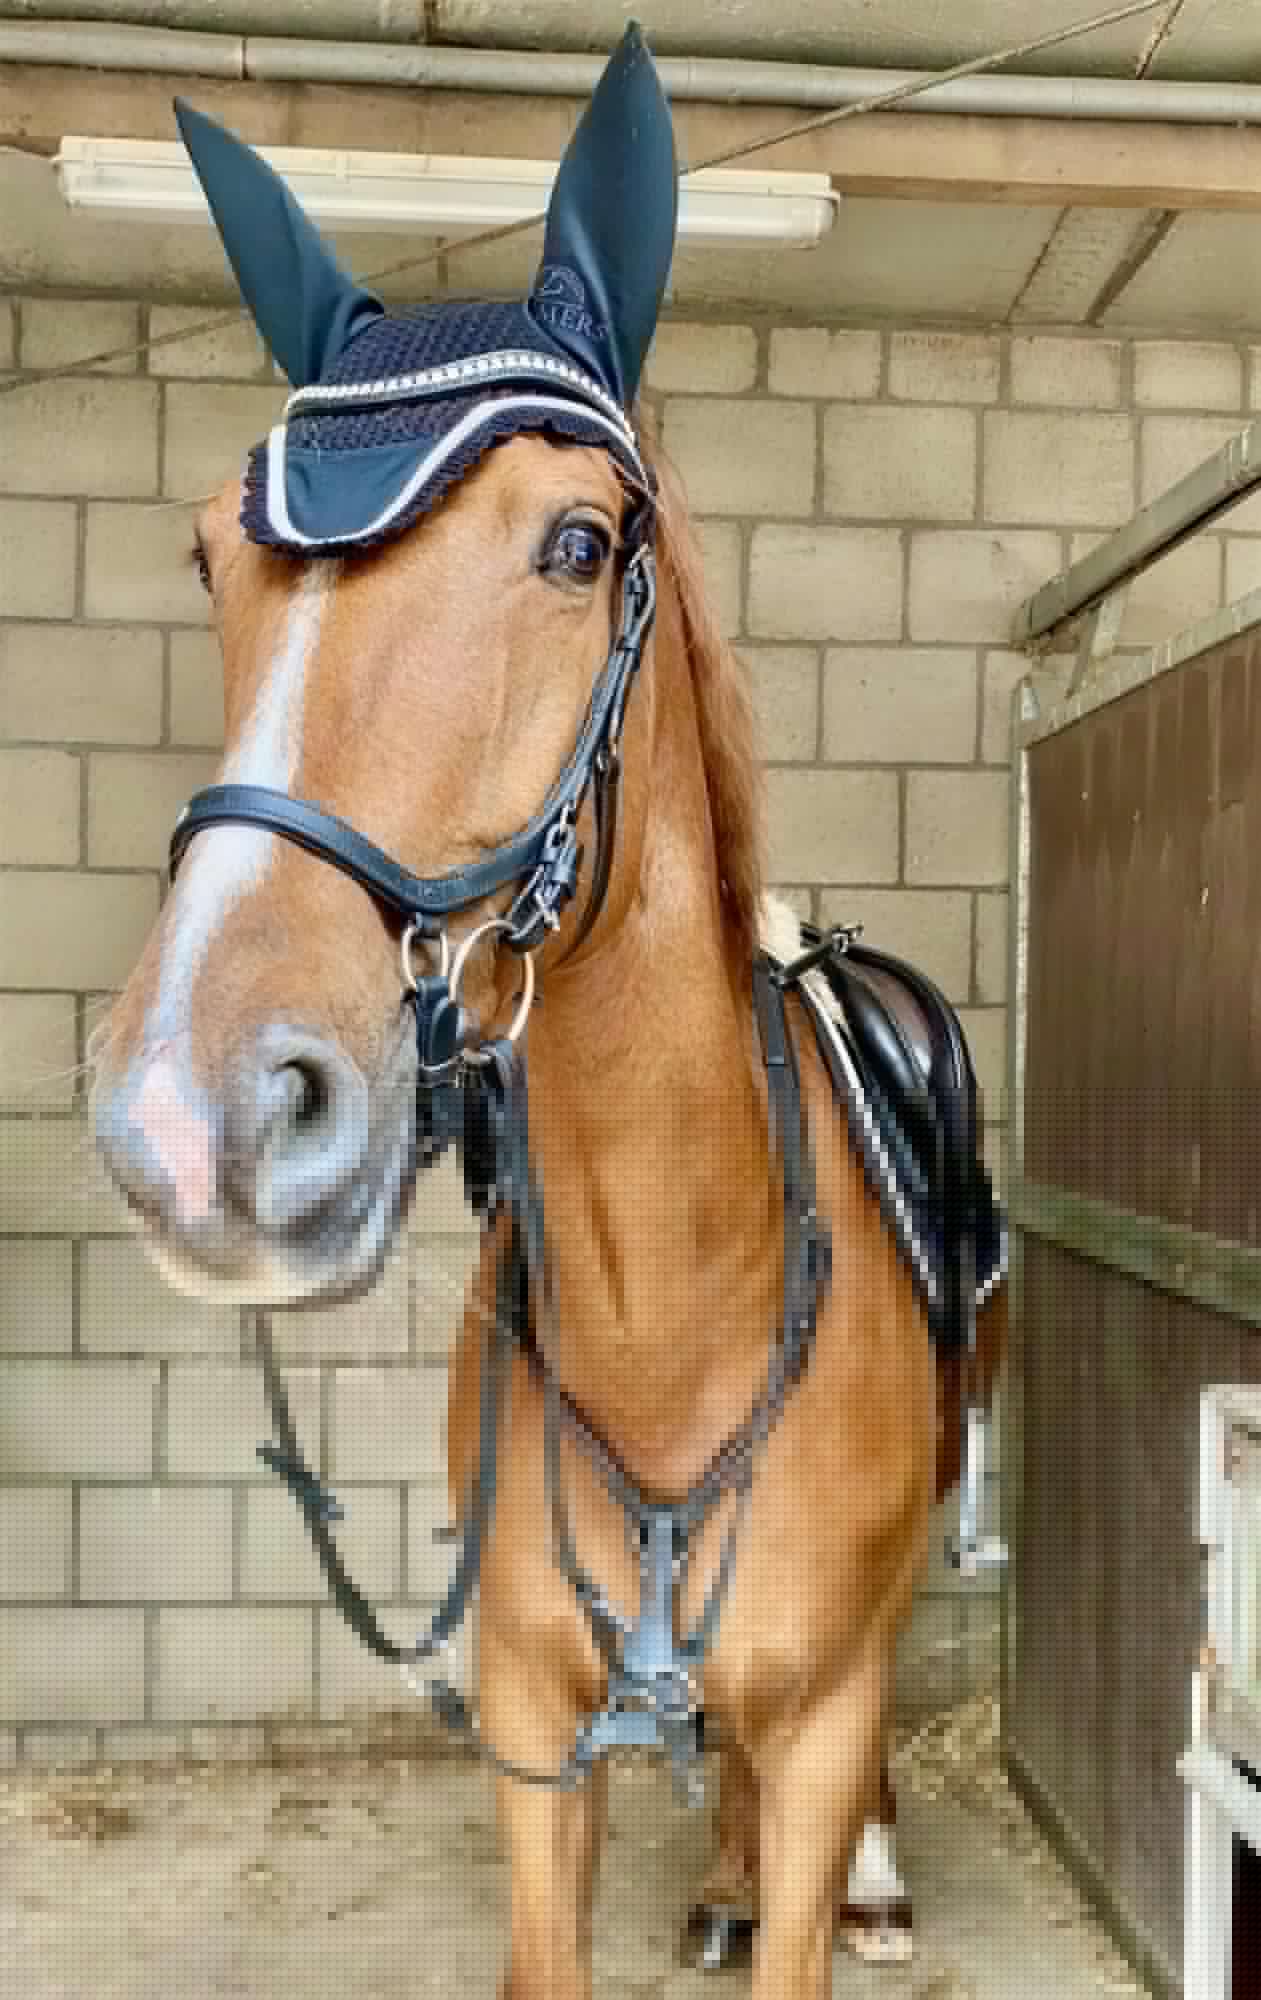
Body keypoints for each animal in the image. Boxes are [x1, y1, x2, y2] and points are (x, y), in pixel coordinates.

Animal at [90, 29, 1006, 1997]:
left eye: (578, 545)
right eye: (211, 559)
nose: (198, 1117)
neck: (682, 1299)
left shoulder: (826, 1704)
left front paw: (832, 1888)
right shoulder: (528, 1727)